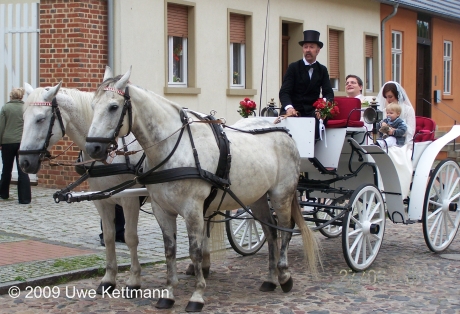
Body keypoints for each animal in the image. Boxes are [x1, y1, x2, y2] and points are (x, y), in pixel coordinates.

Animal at [18, 72, 145, 296]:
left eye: (41, 119)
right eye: (23, 118)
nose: (24, 162)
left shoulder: (130, 199)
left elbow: (130, 237)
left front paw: (134, 280)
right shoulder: (102, 200)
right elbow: (110, 236)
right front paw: (109, 279)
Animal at [84, 68, 318, 312]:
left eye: (113, 107)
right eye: (93, 105)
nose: (93, 148)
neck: (174, 148)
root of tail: (283, 130)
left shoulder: (193, 210)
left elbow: (195, 251)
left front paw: (197, 295)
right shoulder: (162, 210)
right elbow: (170, 251)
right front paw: (168, 294)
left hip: (281, 195)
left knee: (285, 230)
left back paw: (284, 276)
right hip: (258, 198)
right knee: (271, 233)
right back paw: (270, 279)